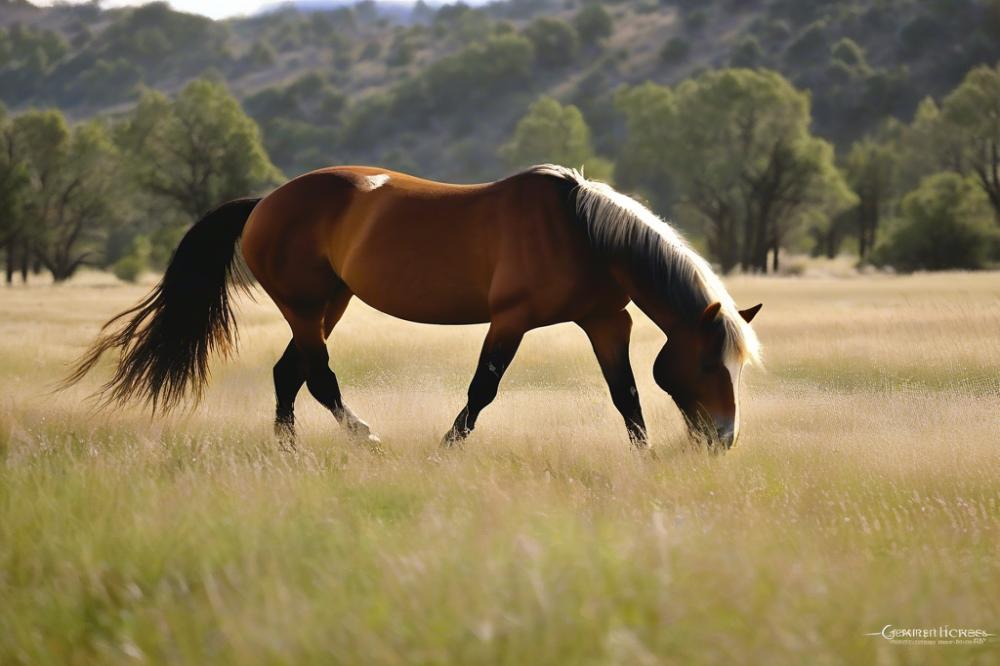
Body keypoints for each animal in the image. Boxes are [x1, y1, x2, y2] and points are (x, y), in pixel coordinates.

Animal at [66, 163, 760, 448]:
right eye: (707, 365)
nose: (724, 440)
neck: (581, 229)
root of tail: (265, 202)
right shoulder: (510, 321)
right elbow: (483, 389)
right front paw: (448, 446)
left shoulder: (605, 321)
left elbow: (625, 393)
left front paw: (642, 455)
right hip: (305, 305)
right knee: (317, 376)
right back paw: (363, 435)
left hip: (331, 302)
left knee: (289, 374)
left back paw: (289, 448)